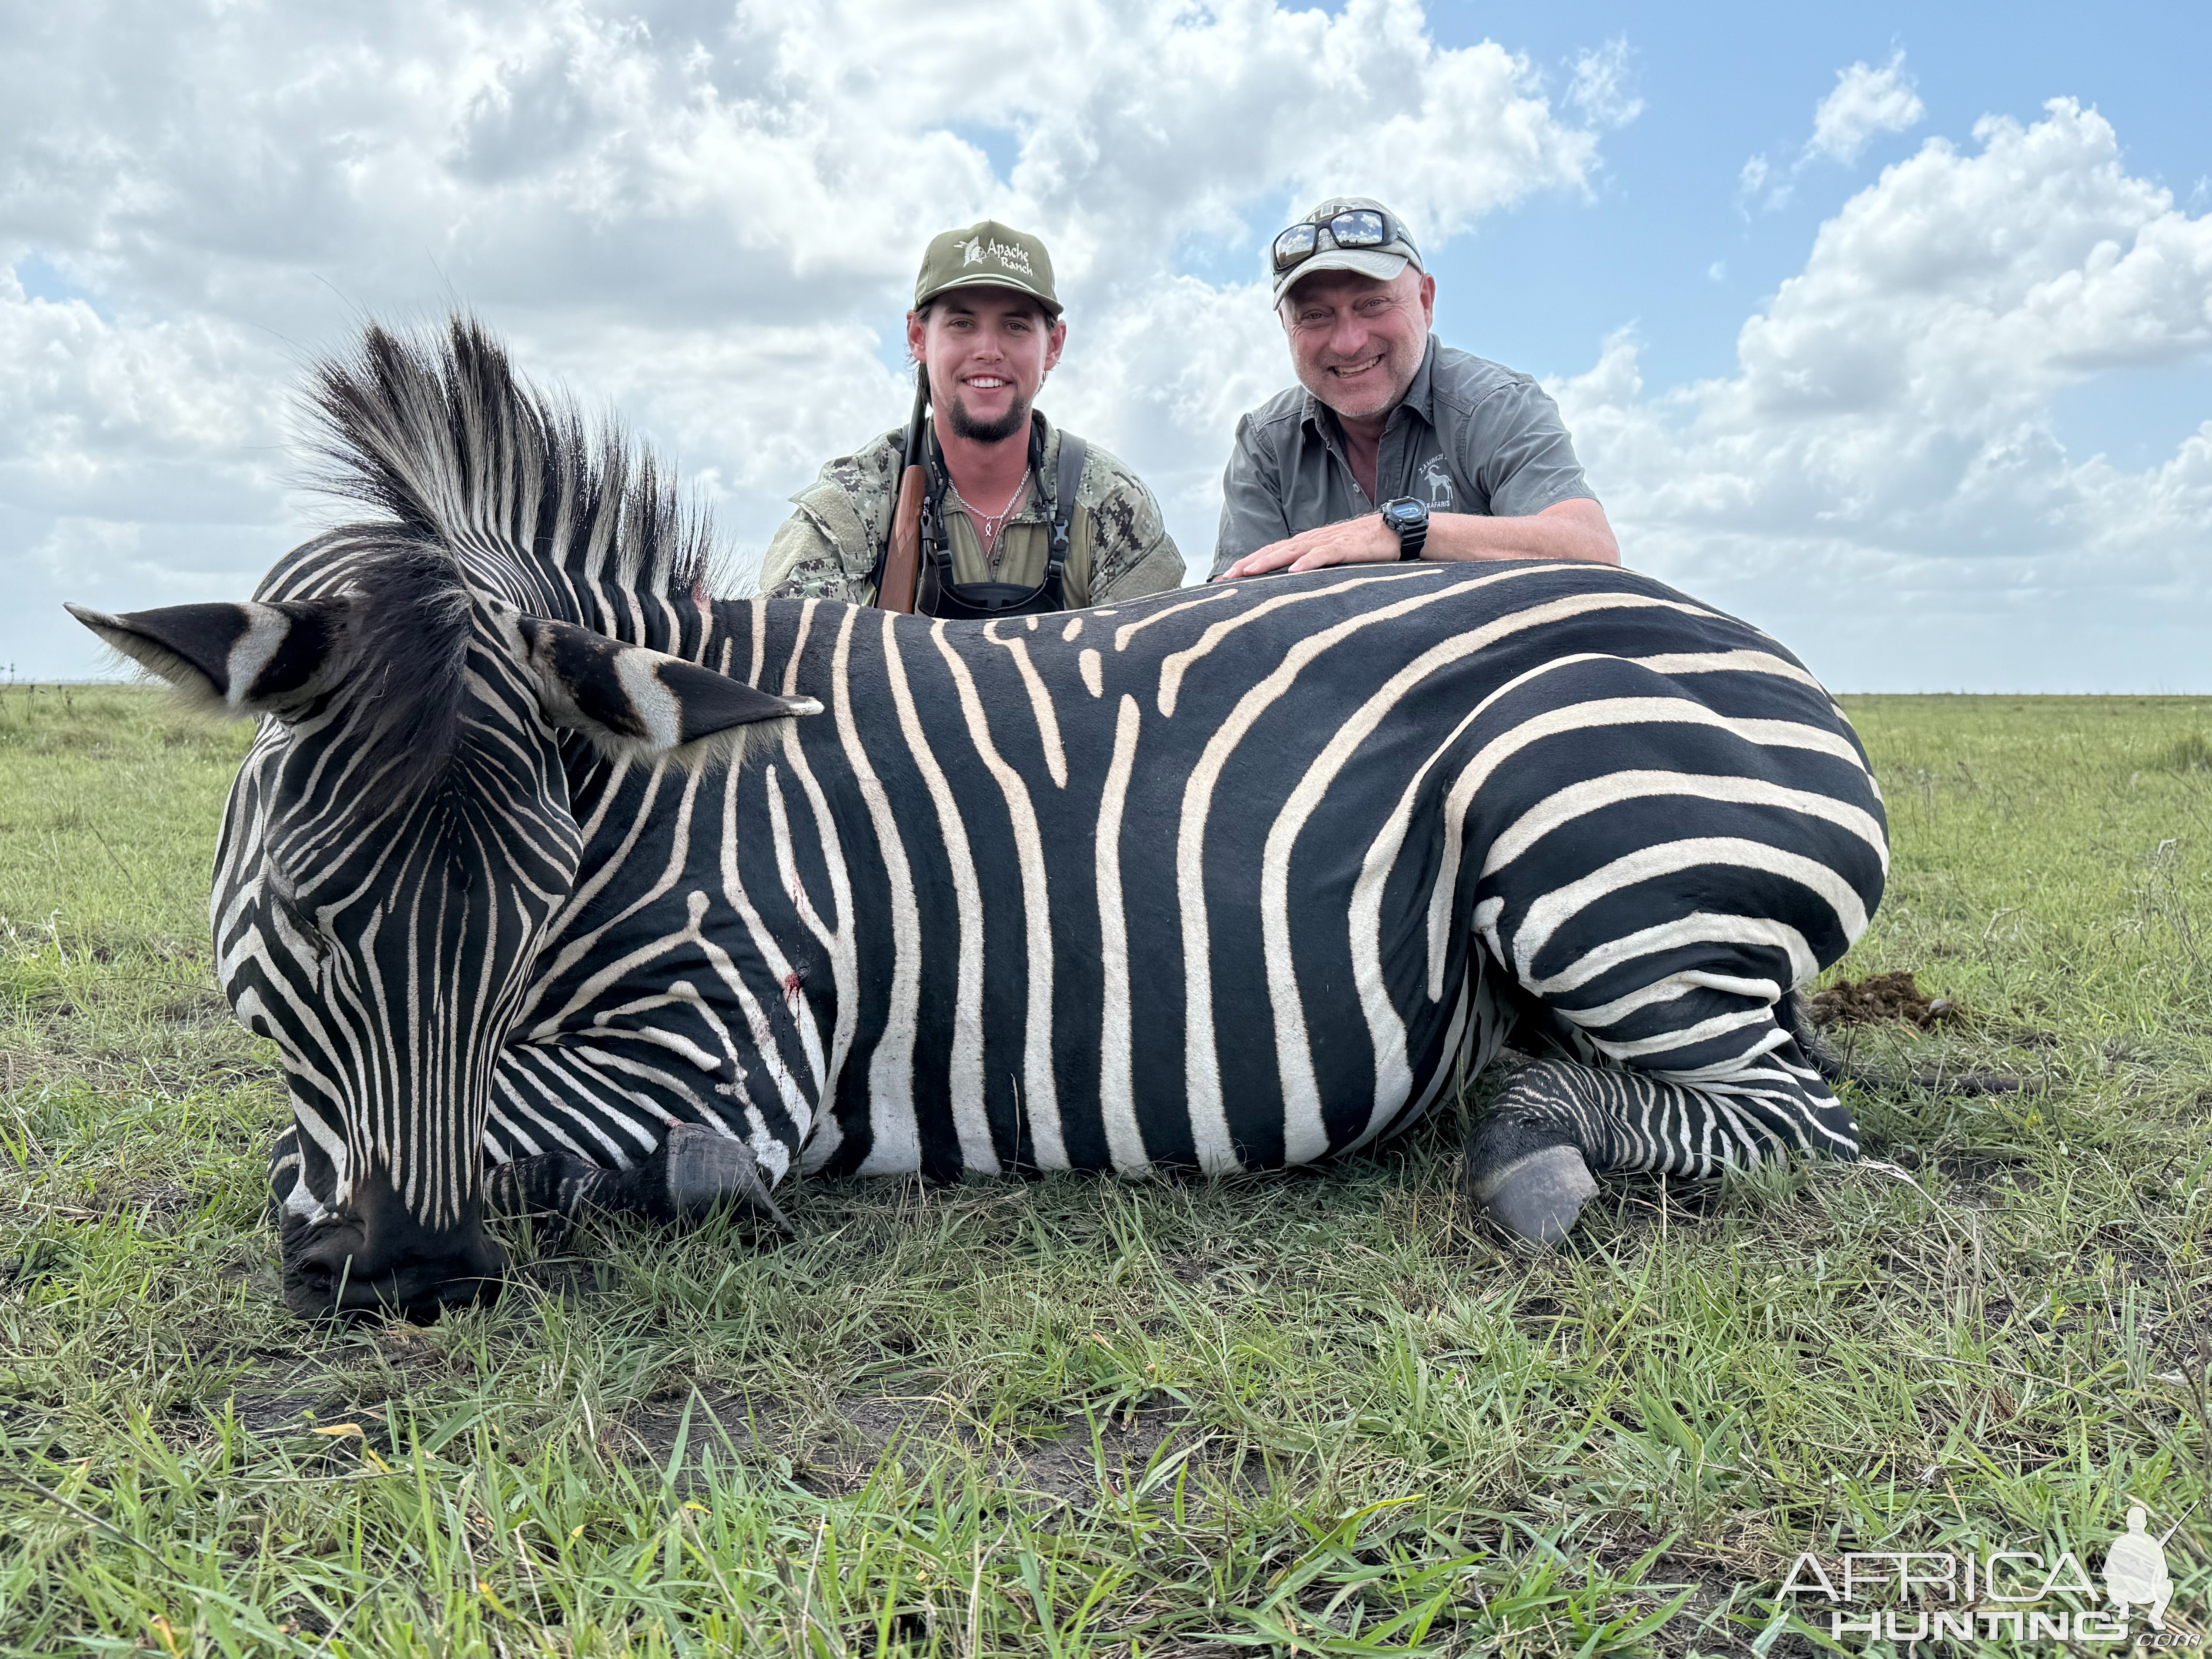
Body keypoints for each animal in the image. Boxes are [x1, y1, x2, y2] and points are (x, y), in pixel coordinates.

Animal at [73, 318, 1884, 1318]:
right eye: (303, 911)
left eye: (529, 915)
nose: (417, 1284)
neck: (645, 800)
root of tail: (1751, 641)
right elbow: (326, 1135)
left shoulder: (741, 1035)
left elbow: (410, 1144)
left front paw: (682, 1176)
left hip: (1581, 835)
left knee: (1795, 1122)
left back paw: (1527, 1146)